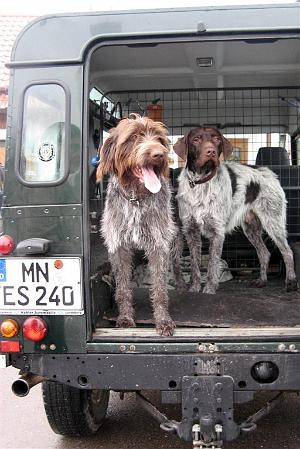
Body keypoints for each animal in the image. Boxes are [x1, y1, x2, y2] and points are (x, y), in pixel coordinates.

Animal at [95, 114, 176, 334]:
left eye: (159, 139)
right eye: (133, 137)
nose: (159, 154)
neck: (136, 199)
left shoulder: (159, 244)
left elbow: (159, 288)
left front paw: (163, 320)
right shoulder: (119, 246)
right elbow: (123, 288)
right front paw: (124, 318)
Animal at [173, 126, 298, 294]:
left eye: (216, 139)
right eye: (196, 139)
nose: (211, 152)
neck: (201, 183)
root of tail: (269, 173)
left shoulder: (217, 232)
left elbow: (212, 265)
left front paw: (209, 290)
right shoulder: (191, 230)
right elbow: (195, 264)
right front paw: (194, 288)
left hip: (273, 221)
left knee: (287, 251)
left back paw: (291, 282)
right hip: (251, 228)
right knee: (264, 253)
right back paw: (262, 281)